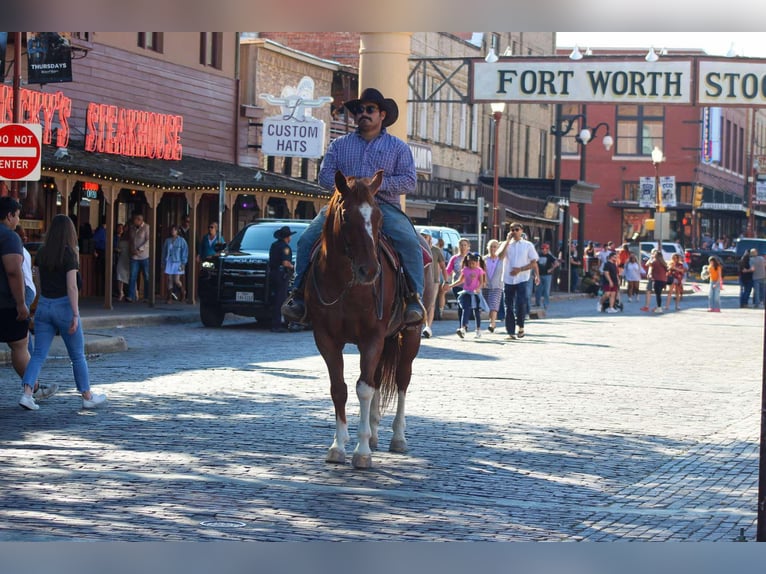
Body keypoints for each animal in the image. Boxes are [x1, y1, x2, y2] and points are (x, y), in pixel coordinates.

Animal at [306, 169, 426, 470]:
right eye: (346, 216)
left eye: (379, 217)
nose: (370, 270)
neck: (346, 284)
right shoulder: (326, 338)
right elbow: (340, 388)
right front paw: (338, 446)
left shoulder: (372, 336)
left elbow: (364, 389)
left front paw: (361, 452)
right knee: (377, 378)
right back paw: (373, 434)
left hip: (410, 335)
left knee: (402, 379)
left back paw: (397, 438)